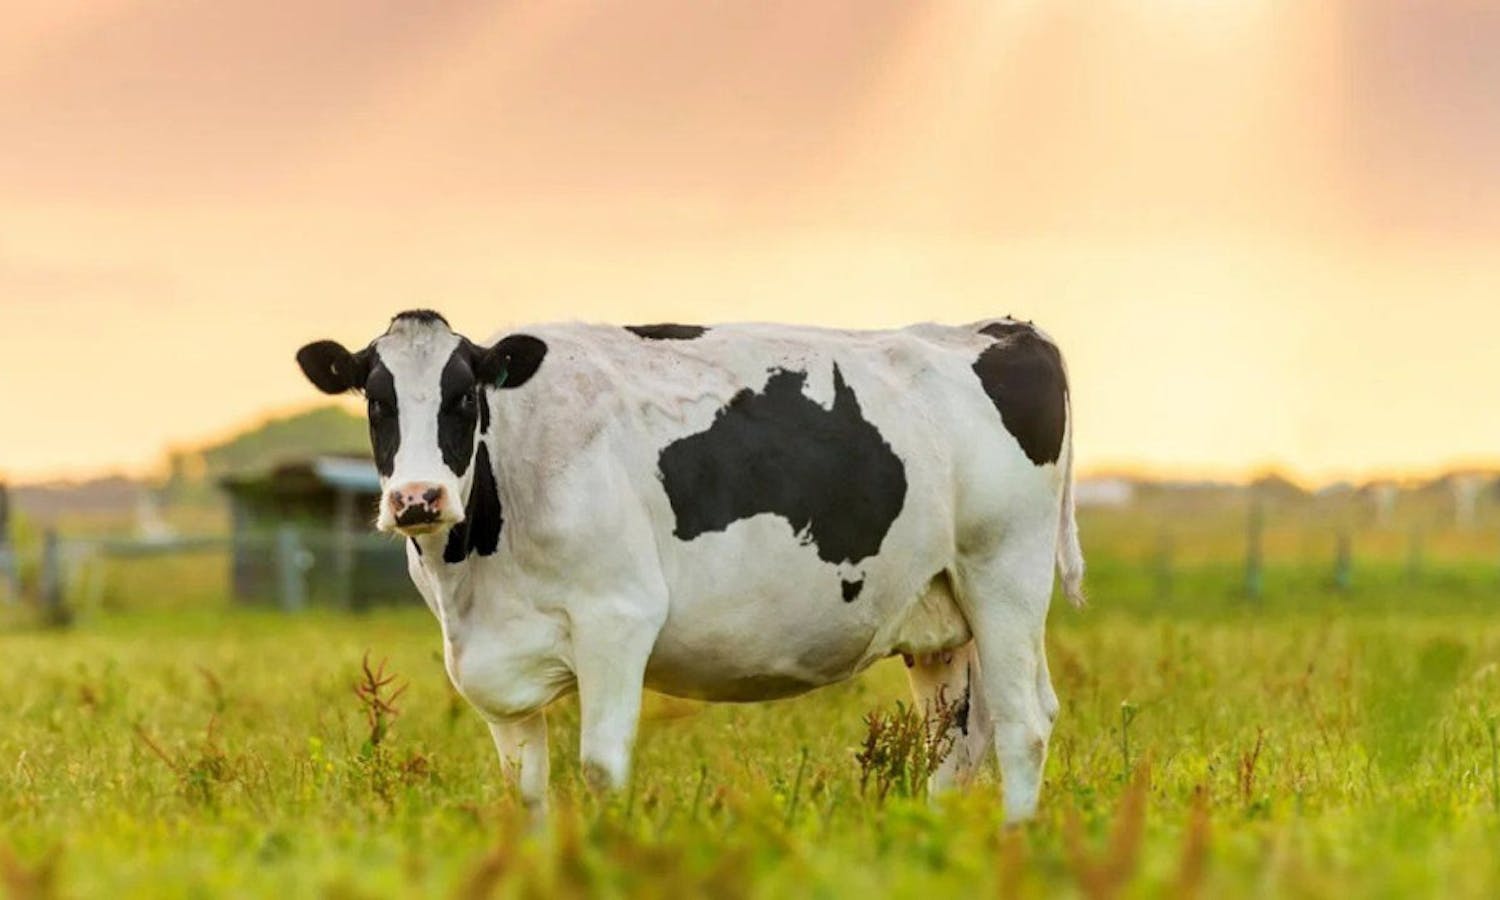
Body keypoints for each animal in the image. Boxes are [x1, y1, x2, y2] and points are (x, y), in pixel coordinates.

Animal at [296, 310, 1083, 822]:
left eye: (464, 396)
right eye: (376, 402)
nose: (417, 498)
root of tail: (1003, 327)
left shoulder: (618, 617)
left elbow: (601, 767)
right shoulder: (496, 666)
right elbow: (526, 791)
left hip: (1004, 575)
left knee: (1023, 724)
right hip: (940, 614)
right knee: (956, 738)